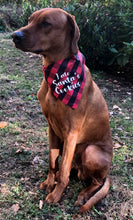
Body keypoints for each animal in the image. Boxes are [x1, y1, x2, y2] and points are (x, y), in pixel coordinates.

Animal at [11, 7, 112, 212]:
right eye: (29, 20)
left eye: (46, 23)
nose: (14, 35)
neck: (58, 72)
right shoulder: (52, 128)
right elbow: (53, 161)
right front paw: (49, 183)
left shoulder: (71, 133)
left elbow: (63, 168)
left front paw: (56, 195)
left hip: (91, 151)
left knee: (96, 181)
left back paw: (83, 195)